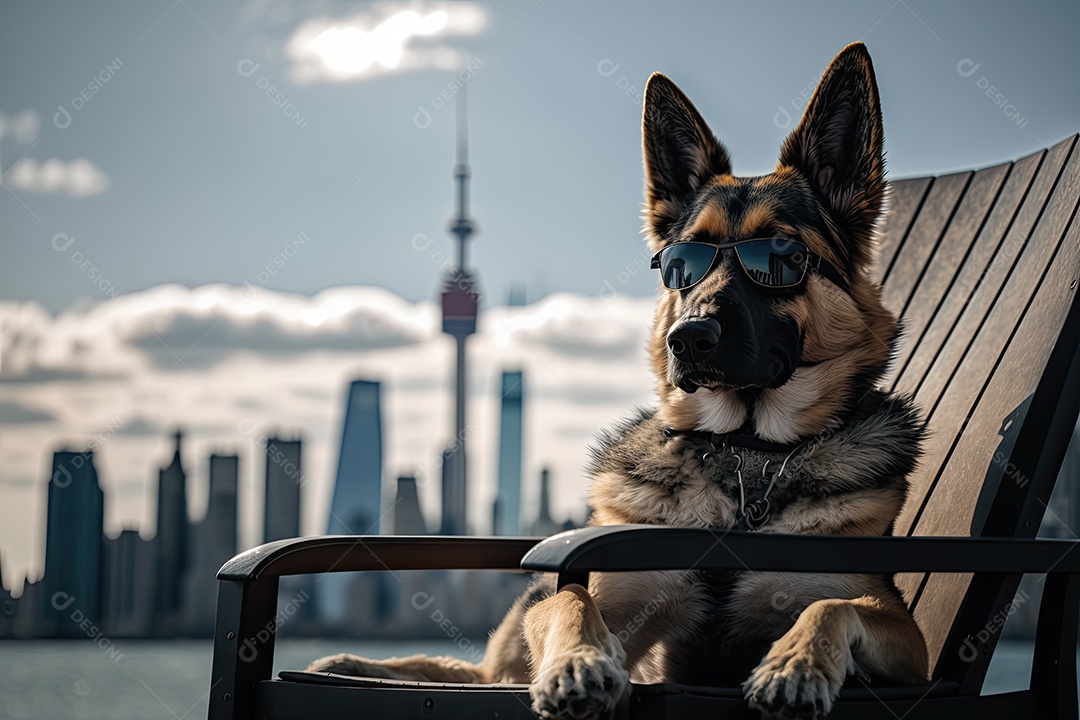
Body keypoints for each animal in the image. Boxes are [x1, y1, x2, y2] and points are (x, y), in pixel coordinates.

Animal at [311, 42, 928, 716]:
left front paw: (797, 662)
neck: (742, 462)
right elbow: (570, 602)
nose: (687, 338)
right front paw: (578, 662)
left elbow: (831, 605)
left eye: (779, 256)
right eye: (683, 261)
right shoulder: (606, 598)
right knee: (478, 670)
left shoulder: (902, 635)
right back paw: (353, 662)